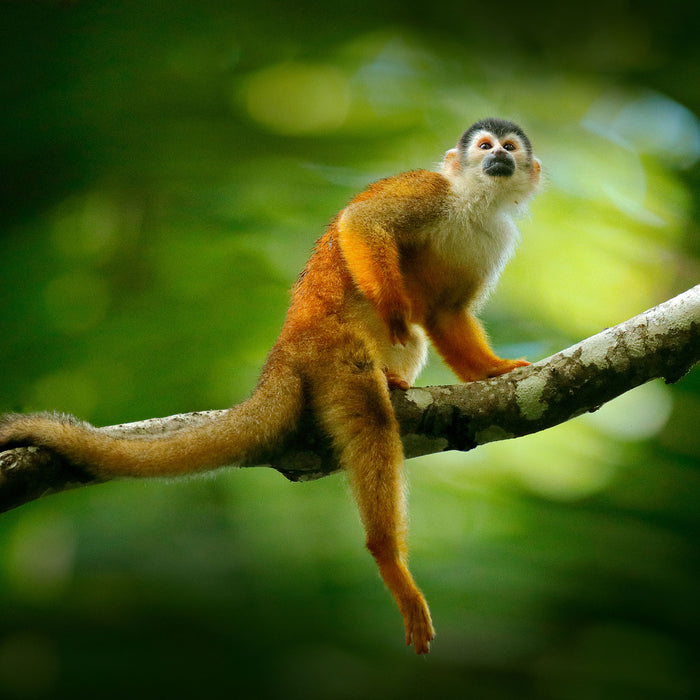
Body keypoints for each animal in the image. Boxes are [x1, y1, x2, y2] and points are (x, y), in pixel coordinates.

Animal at [0, 116, 540, 656]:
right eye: (485, 146)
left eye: (509, 148)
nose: (498, 157)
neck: (476, 201)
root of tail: (285, 347)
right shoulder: (430, 191)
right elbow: (363, 223)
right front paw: (393, 303)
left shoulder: (496, 237)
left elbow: (445, 313)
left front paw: (491, 371)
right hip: (331, 345)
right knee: (370, 413)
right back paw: (387, 555)